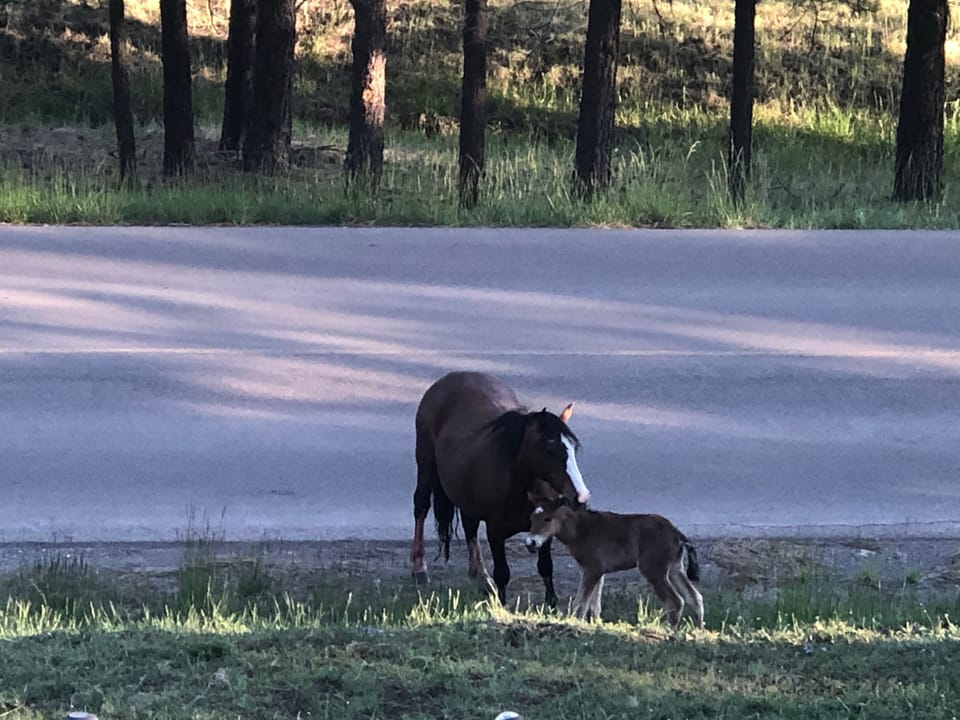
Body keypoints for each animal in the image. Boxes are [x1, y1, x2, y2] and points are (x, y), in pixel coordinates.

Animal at [410, 371, 591, 605]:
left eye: (574, 448)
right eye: (550, 450)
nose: (581, 496)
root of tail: (448, 379)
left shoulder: (546, 526)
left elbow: (545, 567)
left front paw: (551, 603)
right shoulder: (495, 530)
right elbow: (503, 572)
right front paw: (501, 605)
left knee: (469, 525)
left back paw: (479, 576)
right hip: (426, 466)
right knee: (421, 507)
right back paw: (419, 568)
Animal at [524, 481, 704, 627]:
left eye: (548, 519)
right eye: (531, 518)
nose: (530, 543)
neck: (580, 530)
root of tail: (677, 534)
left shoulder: (593, 568)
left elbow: (580, 603)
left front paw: (575, 624)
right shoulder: (596, 571)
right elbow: (594, 606)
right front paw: (596, 626)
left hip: (652, 568)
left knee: (675, 601)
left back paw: (669, 631)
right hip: (675, 567)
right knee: (695, 598)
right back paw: (697, 631)